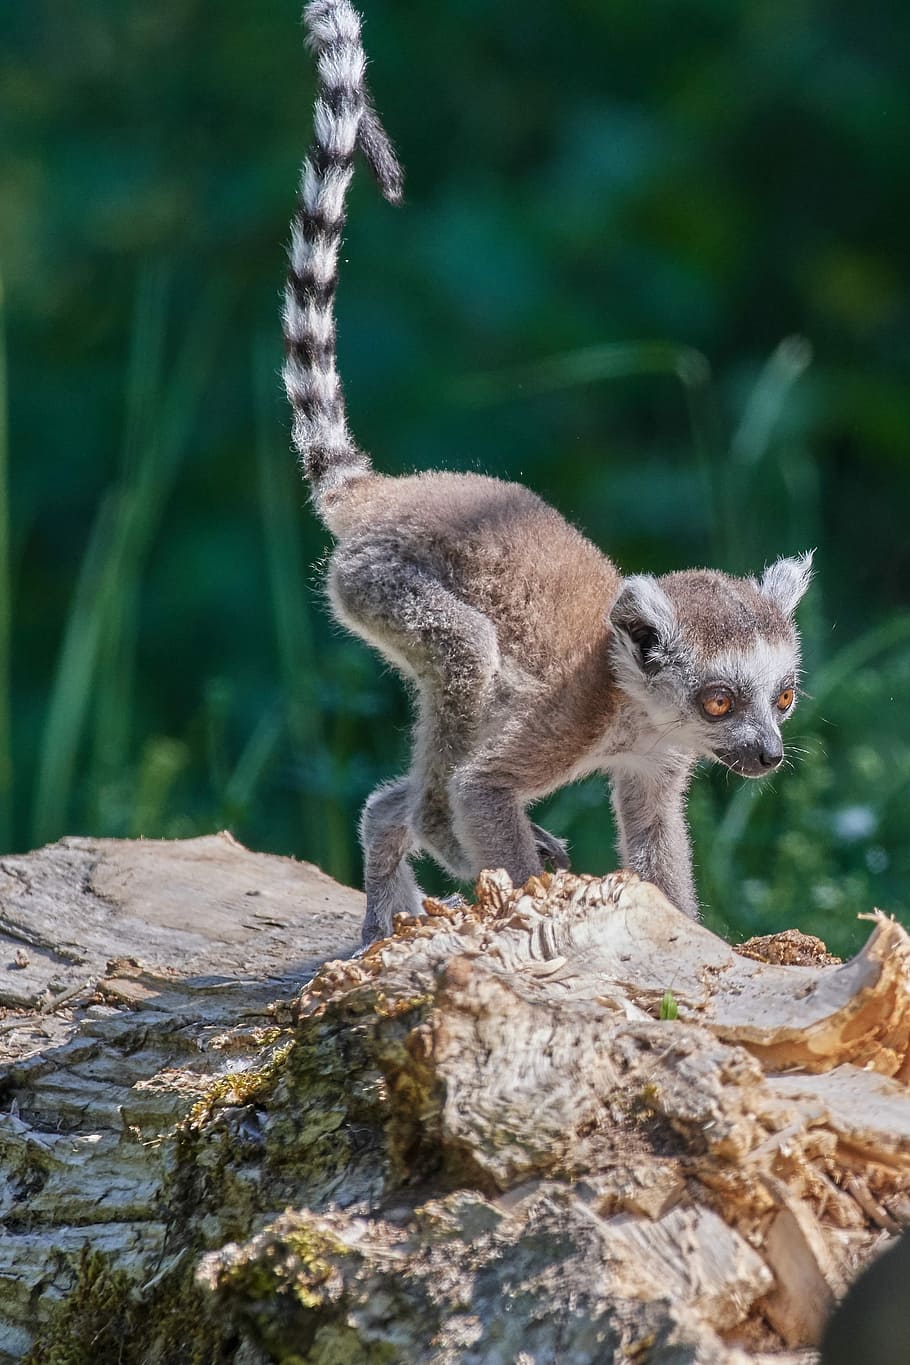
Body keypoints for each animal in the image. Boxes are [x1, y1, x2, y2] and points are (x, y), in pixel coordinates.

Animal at [283, 0, 813, 945]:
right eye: (721, 700)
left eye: (782, 697)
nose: (766, 754)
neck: (638, 706)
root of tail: (387, 492)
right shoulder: (568, 719)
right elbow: (483, 789)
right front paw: (524, 899)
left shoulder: (653, 761)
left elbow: (653, 836)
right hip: (382, 585)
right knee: (466, 664)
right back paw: (431, 831)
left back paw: (392, 850)